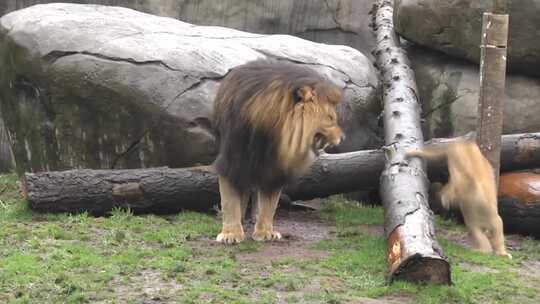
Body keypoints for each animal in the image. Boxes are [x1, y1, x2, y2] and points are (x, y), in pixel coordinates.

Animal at [212, 59, 344, 245]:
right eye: (330, 118)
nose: (343, 137)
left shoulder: (275, 169)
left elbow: (269, 204)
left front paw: (265, 232)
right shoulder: (232, 161)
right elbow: (230, 201)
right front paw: (231, 234)